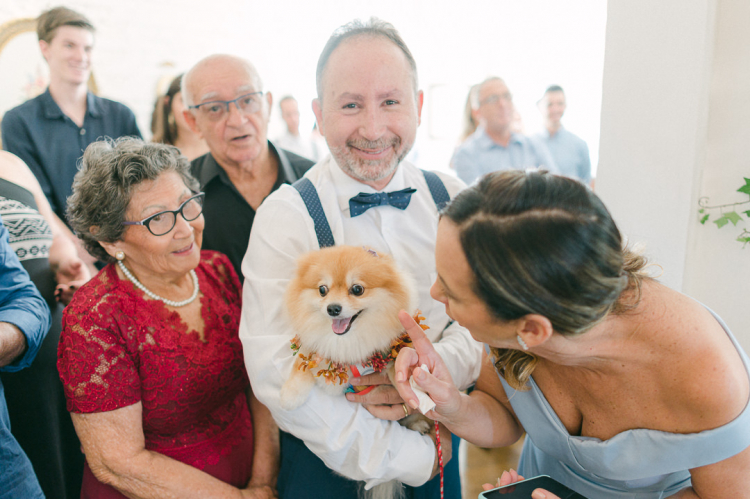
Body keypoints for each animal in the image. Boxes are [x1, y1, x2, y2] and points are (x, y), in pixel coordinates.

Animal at [280, 245, 434, 438]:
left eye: (357, 289)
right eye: (322, 289)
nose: (333, 308)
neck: (348, 339)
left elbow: (399, 368)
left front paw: (417, 392)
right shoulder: (316, 347)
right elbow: (302, 364)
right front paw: (290, 395)